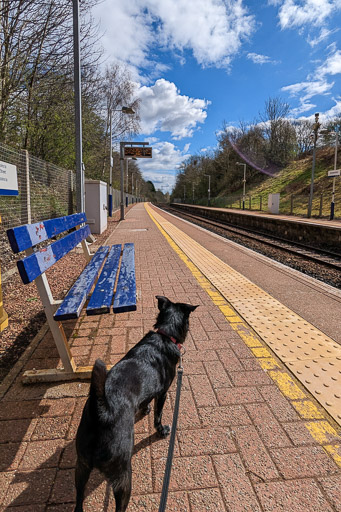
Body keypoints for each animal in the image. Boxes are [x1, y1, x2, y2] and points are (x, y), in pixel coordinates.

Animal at [74, 294, 197, 510]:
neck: (165, 335)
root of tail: (101, 412)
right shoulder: (163, 393)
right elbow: (158, 415)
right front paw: (161, 430)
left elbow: (146, 401)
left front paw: (144, 408)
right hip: (123, 476)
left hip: (80, 468)